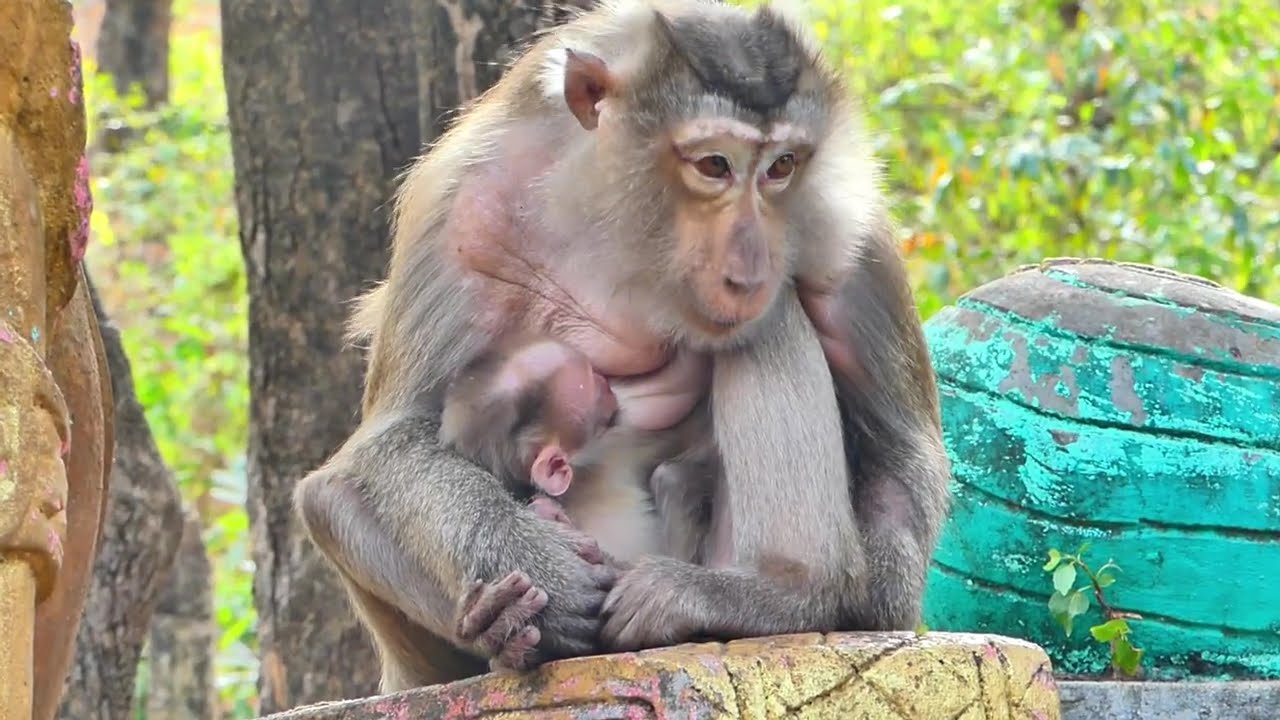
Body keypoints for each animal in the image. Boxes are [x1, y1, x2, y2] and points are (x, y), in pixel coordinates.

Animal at [295, 0, 951, 690]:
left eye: (781, 167)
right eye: (713, 164)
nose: (751, 266)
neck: (623, 214)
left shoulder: (848, 220)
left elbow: (900, 442)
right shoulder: (462, 208)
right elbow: (392, 441)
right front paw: (545, 576)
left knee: (769, 320)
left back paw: (781, 591)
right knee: (329, 498)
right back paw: (505, 628)